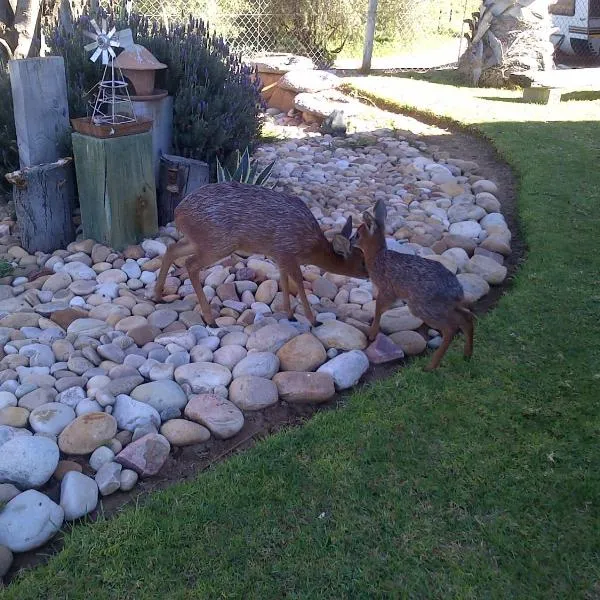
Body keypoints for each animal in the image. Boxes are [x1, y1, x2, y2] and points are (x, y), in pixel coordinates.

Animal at [152, 180, 368, 326]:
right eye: (363, 262)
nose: (369, 275)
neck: (311, 246)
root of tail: (178, 212)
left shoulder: (281, 256)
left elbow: (284, 281)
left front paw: (290, 315)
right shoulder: (288, 252)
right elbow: (298, 282)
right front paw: (313, 320)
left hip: (200, 242)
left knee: (171, 249)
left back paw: (158, 296)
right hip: (219, 243)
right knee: (190, 264)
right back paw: (210, 320)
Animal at [352, 199, 474, 372]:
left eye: (358, 234)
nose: (350, 241)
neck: (378, 257)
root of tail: (456, 291)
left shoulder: (387, 290)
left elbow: (378, 309)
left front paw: (372, 334)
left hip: (422, 306)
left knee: (450, 329)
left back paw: (431, 366)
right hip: (443, 307)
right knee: (466, 317)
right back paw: (467, 355)